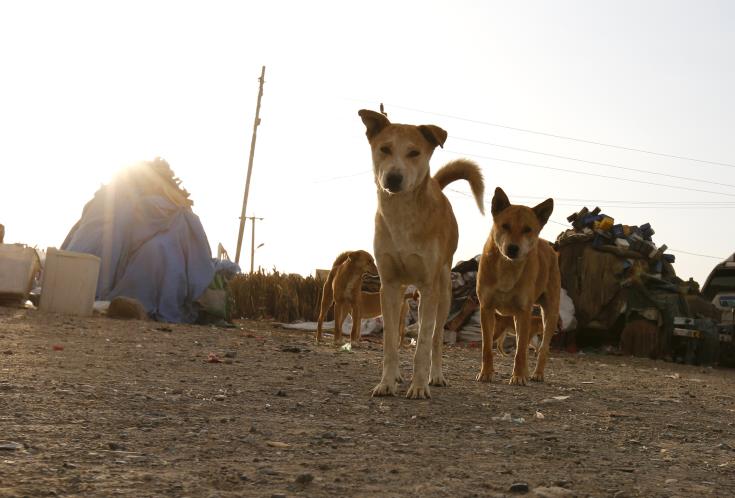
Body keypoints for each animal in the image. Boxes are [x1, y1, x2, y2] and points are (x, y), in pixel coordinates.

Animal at [360, 110, 486, 400]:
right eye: (384, 149)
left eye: (414, 152)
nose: (393, 178)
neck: (402, 215)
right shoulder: (388, 284)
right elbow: (390, 344)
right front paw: (386, 383)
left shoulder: (429, 288)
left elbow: (424, 345)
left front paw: (419, 386)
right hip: (402, 295)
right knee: (397, 333)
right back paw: (397, 375)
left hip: (444, 290)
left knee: (437, 338)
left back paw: (436, 376)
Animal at [474, 187, 560, 386]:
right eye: (505, 225)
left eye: (527, 229)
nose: (513, 248)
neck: (507, 267)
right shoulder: (486, 308)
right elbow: (487, 347)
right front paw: (486, 373)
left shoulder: (524, 311)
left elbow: (521, 350)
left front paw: (519, 376)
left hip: (549, 314)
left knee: (542, 349)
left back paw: (536, 374)